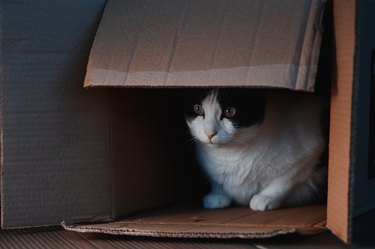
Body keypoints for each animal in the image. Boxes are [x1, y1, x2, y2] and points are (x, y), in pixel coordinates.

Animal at [187, 89, 328, 210]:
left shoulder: (310, 152)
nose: (209, 133)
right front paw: (218, 195)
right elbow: (216, 180)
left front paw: (265, 198)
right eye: (198, 109)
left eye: (229, 111)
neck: (230, 155)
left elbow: (286, 180)